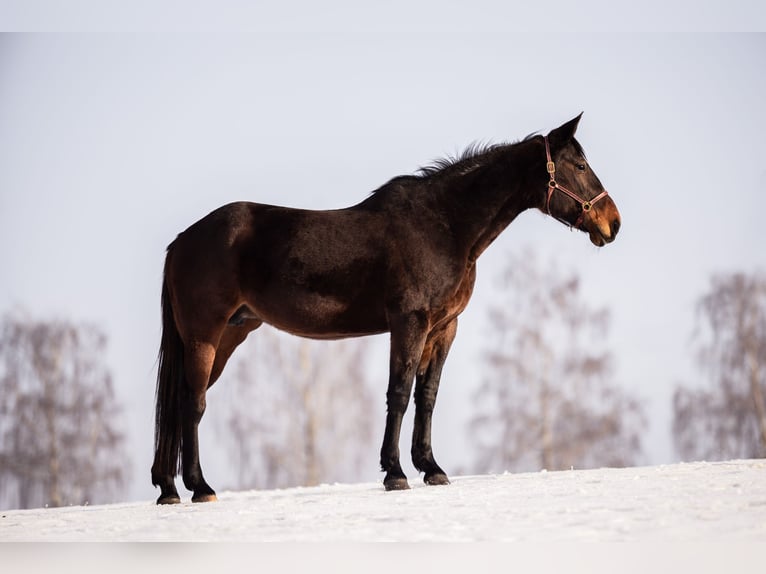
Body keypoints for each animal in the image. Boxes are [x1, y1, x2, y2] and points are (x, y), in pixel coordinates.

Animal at [151, 113, 621, 504]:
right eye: (579, 166)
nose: (612, 223)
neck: (444, 226)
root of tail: (181, 241)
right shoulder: (409, 322)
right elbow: (399, 392)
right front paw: (395, 473)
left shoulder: (443, 328)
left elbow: (426, 396)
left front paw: (431, 468)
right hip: (205, 335)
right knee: (192, 405)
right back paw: (200, 488)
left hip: (229, 334)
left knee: (177, 406)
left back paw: (169, 489)